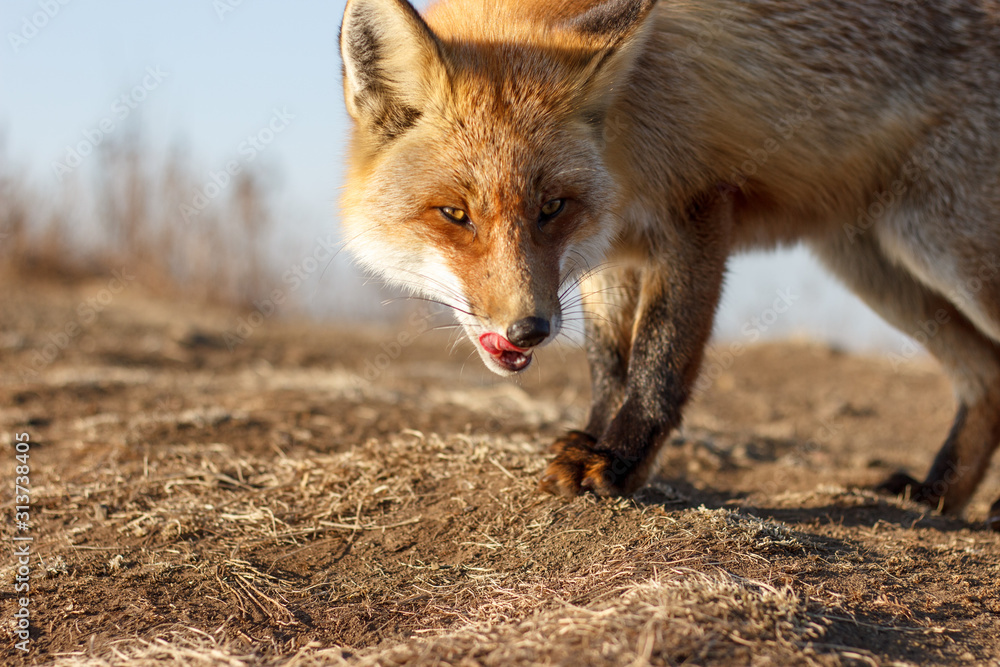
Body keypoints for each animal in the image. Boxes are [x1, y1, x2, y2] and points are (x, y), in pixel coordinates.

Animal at [338, 0, 1000, 531]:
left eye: (551, 207)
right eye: (454, 213)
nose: (528, 330)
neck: (622, 136)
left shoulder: (697, 213)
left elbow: (661, 356)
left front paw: (618, 463)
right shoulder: (610, 252)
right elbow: (610, 363)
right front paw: (590, 440)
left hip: (942, 250)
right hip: (874, 268)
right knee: (985, 373)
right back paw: (938, 496)